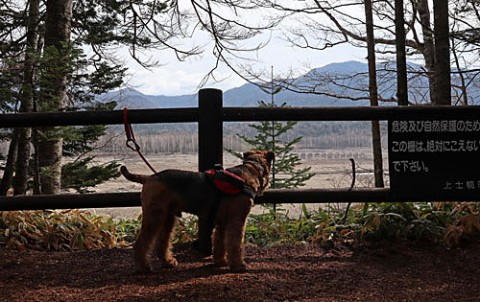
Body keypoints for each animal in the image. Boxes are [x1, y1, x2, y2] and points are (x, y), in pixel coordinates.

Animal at [121, 150, 274, 272]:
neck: (250, 171)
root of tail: (148, 178)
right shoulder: (237, 220)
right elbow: (235, 244)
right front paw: (239, 265)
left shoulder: (222, 222)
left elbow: (219, 242)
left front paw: (221, 261)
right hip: (155, 215)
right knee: (141, 242)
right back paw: (143, 267)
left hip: (168, 217)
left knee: (162, 242)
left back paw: (168, 262)